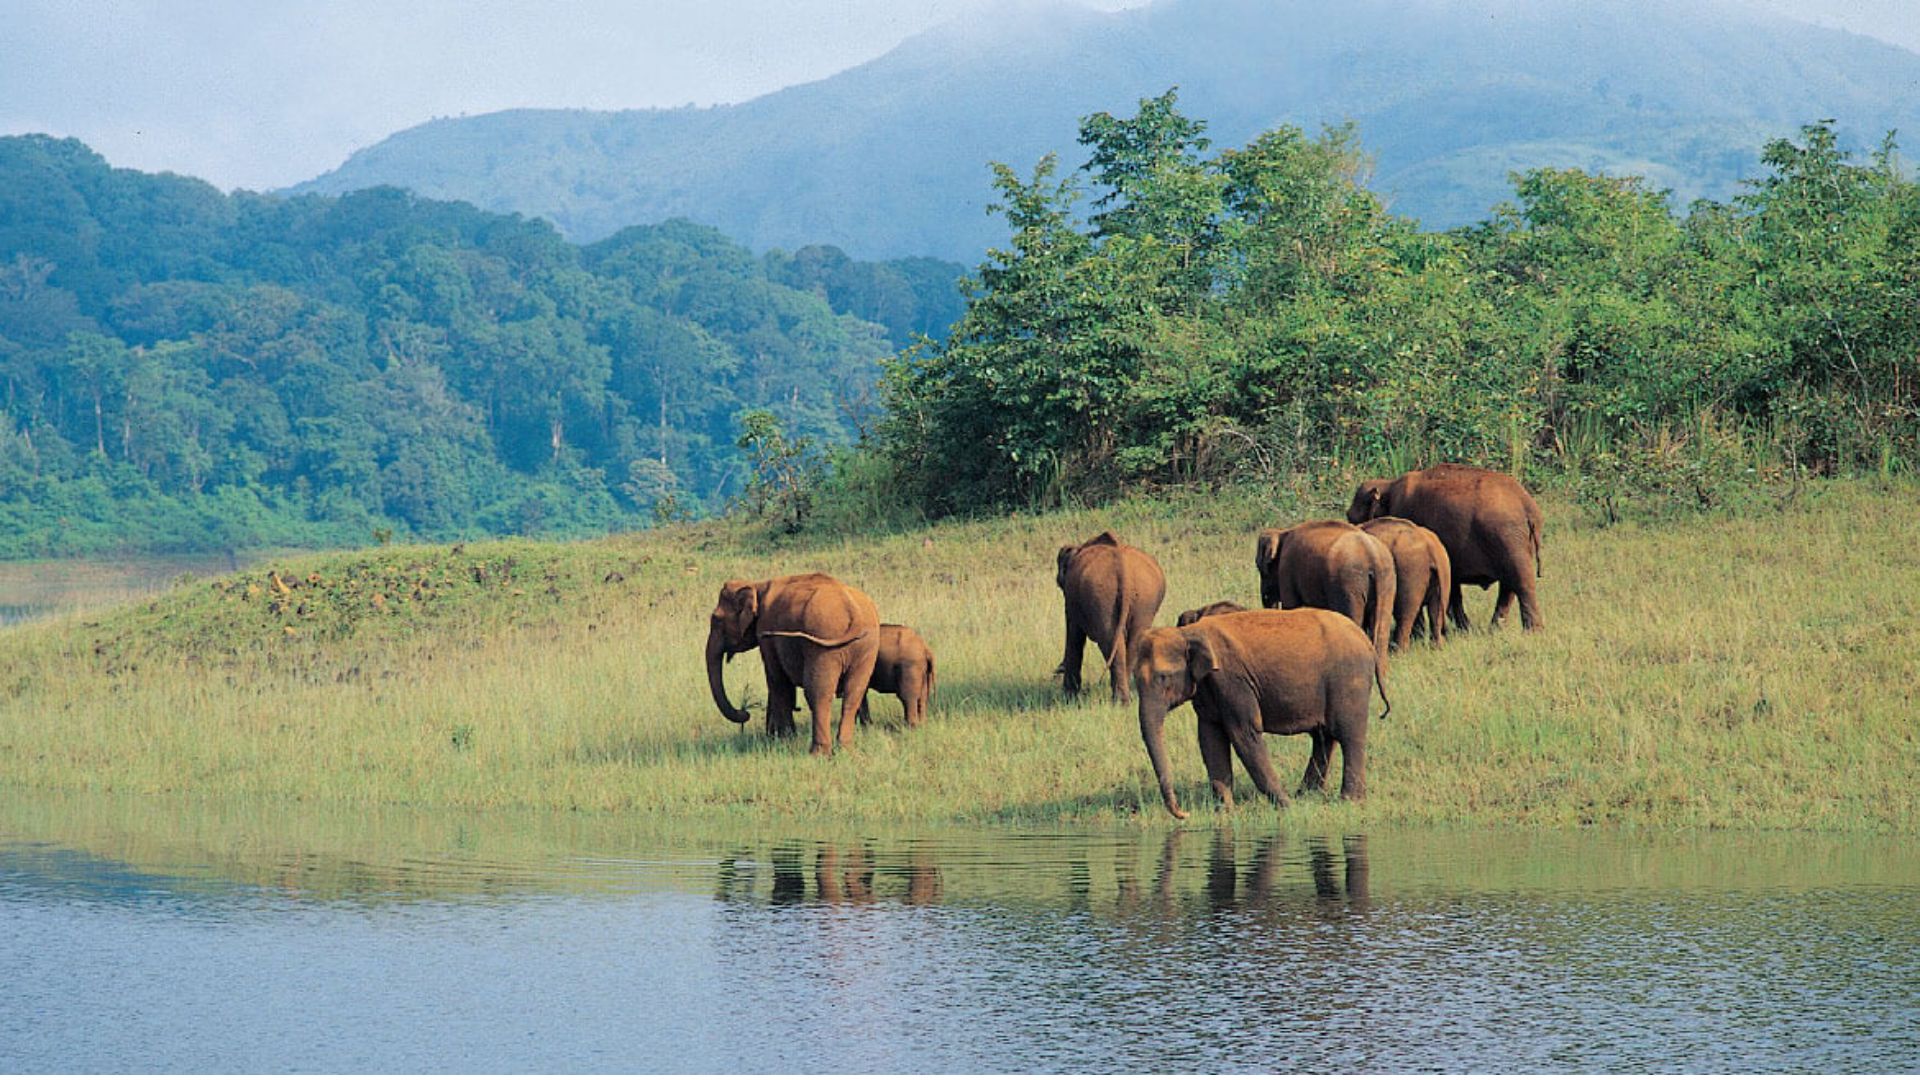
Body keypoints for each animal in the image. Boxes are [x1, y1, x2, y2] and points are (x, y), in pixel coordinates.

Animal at [706, 572, 883, 749]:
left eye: (716, 619)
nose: (745, 713)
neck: (757, 585)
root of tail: (854, 613)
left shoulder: (765, 631)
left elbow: (776, 680)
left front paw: (785, 741)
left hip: (824, 646)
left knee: (817, 693)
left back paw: (819, 752)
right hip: (866, 647)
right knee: (854, 693)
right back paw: (845, 748)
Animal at [1052, 526, 1167, 699]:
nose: (1057, 669)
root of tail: (1123, 568)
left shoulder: (1071, 599)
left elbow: (1074, 632)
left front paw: (1068, 697)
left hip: (1101, 595)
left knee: (1109, 639)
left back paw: (1119, 700)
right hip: (1145, 598)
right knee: (1132, 641)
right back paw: (1125, 699)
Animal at [1128, 607, 1390, 814]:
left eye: (1163, 677)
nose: (1183, 814)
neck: (1187, 633)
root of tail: (1366, 641)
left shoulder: (1231, 680)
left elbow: (1244, 733)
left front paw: (1286, 807)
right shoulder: (1207, 687)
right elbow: (1210, 737)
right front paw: (1225, 811)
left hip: (1349, 679)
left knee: (1348, 734)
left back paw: (1349, 801)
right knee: (1324, 737)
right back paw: (1306, 795)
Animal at [1351, 463, 1543, 630]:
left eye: (1351, 517)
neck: (1388, 485)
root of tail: (1529, 506)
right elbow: (1453, 586)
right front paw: (1465, 630)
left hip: (1508, 538)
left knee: (1521, 582)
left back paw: (1532, 631)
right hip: (1515, 541)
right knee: (1508, 586)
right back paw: (1495, 630)